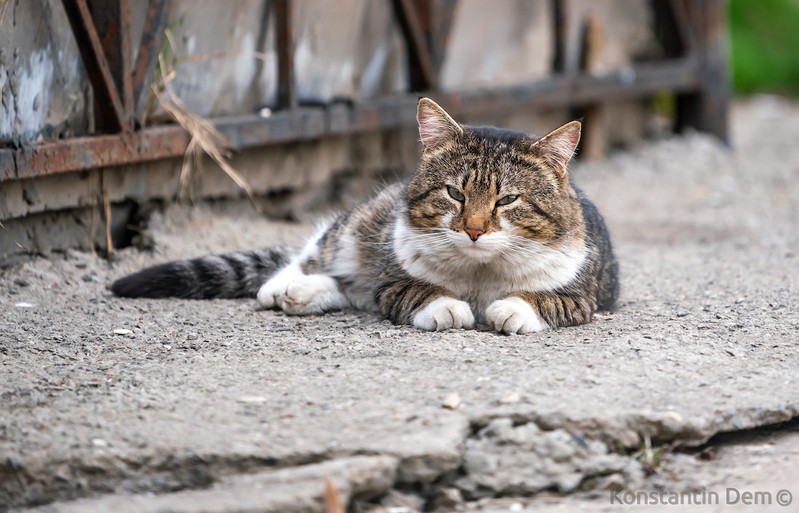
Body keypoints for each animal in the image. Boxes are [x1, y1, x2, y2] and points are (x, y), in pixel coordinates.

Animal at [112, 98, 620, 334]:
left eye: (508, 200)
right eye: (455, 193)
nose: (474, 230)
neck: (480, 274)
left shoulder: (581, 295)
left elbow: (546, 299)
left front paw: (512, 308)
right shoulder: (395, 279)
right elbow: (416, 291)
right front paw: (448, 306)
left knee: (352, 290)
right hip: (364, 225)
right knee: (321, 254)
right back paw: (286, 286)